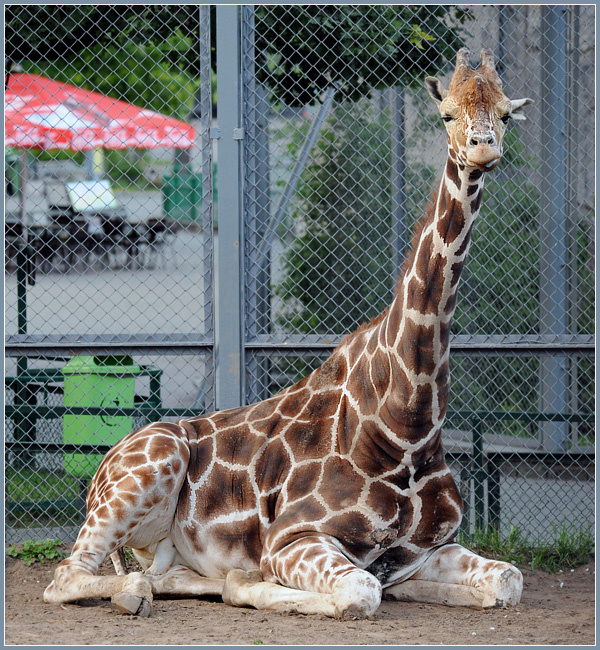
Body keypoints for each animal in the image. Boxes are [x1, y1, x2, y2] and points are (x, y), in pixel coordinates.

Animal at [44, 48, 532, 619]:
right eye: (448, 114)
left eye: (505, 115)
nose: (484, 150)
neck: (404, 423)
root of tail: (99, 468)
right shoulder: (291, 538)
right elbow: (359, 592)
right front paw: (253, 584)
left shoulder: (425, 549)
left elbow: (507, 580)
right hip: (150, 467)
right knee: (69, 575)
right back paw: (144, 591)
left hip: (160, 545)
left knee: (160, 574)